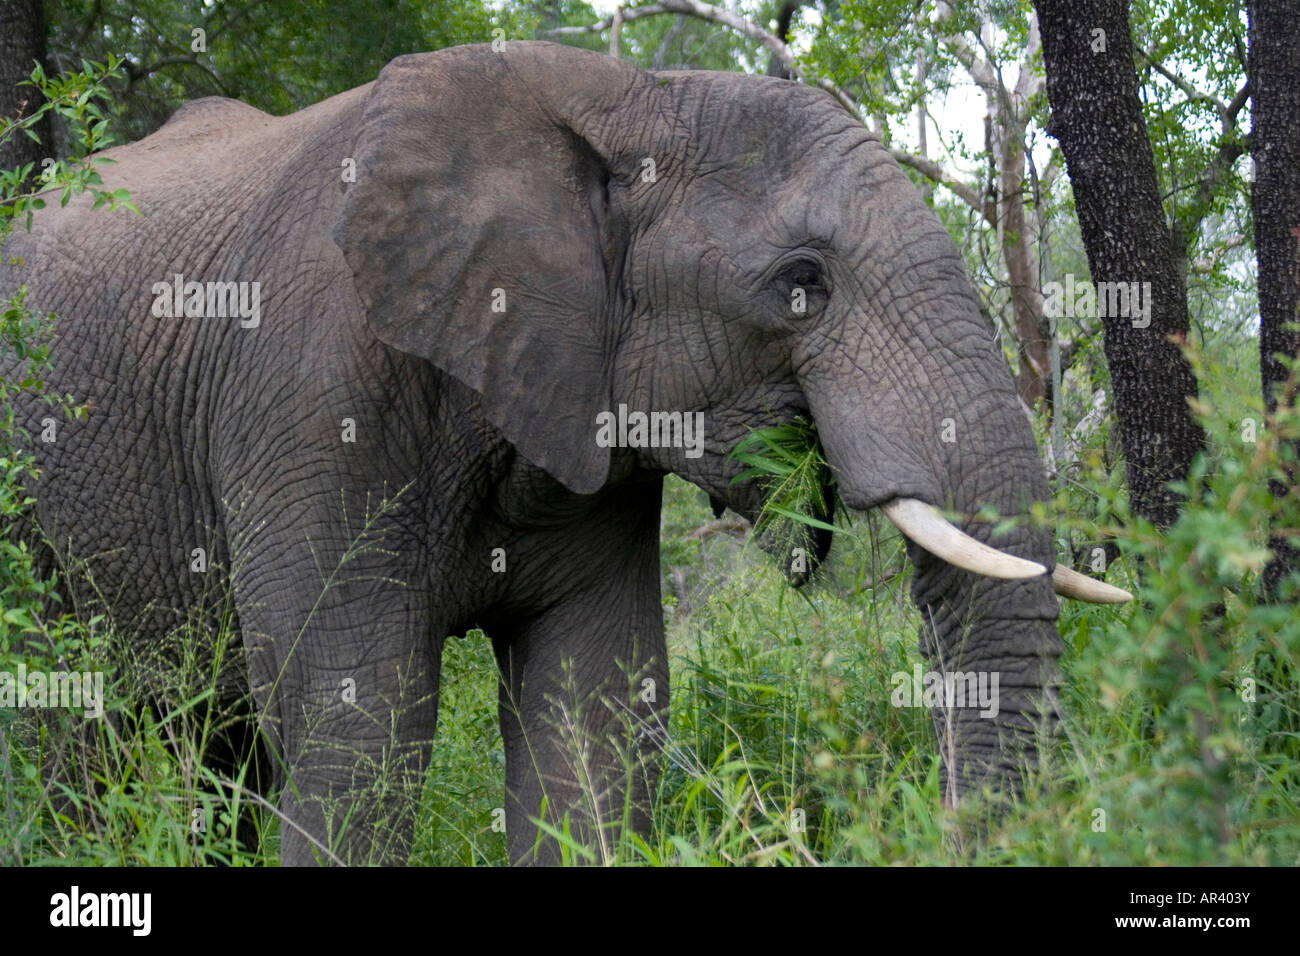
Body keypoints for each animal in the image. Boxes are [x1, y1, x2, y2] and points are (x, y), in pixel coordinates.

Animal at [0, 41, 1123, 863]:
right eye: (801, 283)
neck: (631, 99)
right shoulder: (312, 395)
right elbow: (358, 712)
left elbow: (592, 712)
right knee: (76, 710)